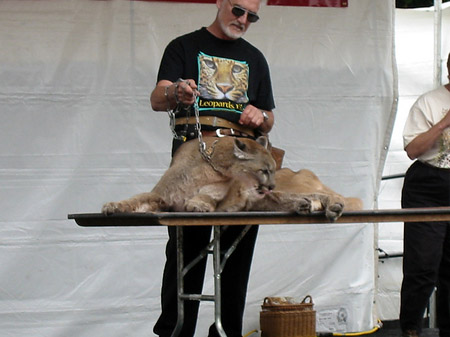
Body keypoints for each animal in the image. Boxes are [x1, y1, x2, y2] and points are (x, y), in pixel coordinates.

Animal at [102, 136, 362, 220]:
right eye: (264, 169)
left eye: (271, 168)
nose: (271, 184)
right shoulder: (161, 196)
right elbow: (136, 198)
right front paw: (112, 205)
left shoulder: (219, 190)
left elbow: (208, 195)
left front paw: (197, 204)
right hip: (265, 200)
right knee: (307, 198)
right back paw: (305, 205)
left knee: (340, 197)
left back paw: (333, 206)